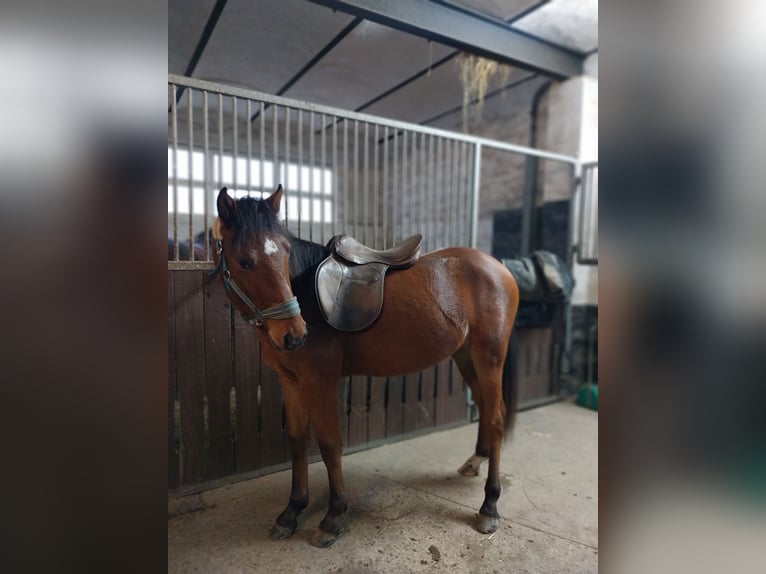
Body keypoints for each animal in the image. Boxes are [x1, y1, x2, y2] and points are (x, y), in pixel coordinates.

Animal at [213, 186, 520, 548]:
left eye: (286, 253)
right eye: (245, 261)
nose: (295, 334)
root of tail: (498, 267)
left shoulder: (320, 381)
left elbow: (330, 444)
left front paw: (333, 517)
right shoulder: (290, 381)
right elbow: (298, 441)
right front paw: (291, 511)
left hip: (489, 357)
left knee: (497, 419)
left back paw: (489, 505)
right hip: (466, 356)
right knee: (487, 409)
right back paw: (475, 462)